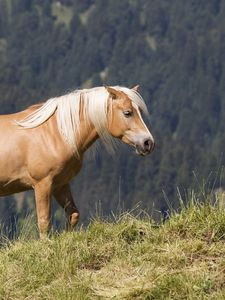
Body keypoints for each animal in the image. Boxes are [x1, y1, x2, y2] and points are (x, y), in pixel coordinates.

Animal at [0, 85, 155, 238]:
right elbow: (44, 222)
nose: (148, 143)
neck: (56, 133)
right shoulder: (42, 184)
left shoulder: (60, 184)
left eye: (140, 111)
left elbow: (73, 215)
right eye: (127, 113)